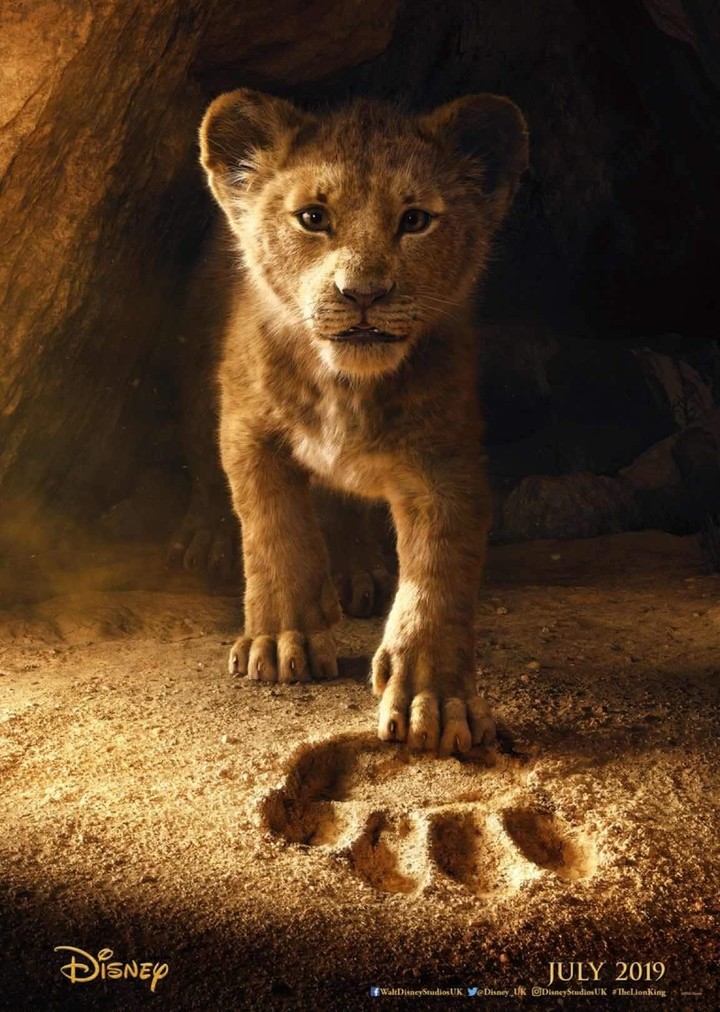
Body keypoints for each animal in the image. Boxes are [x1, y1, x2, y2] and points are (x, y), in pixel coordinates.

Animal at [195, 88, 528, 754]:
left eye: (415, 220)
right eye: (312, 217)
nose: (364, 293)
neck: (346, 386)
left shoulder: (446, 462)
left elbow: (439, 575)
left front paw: (435, 699)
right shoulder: (247, 427)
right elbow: (275, 530)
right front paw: (283, 640)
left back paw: (357, 573)